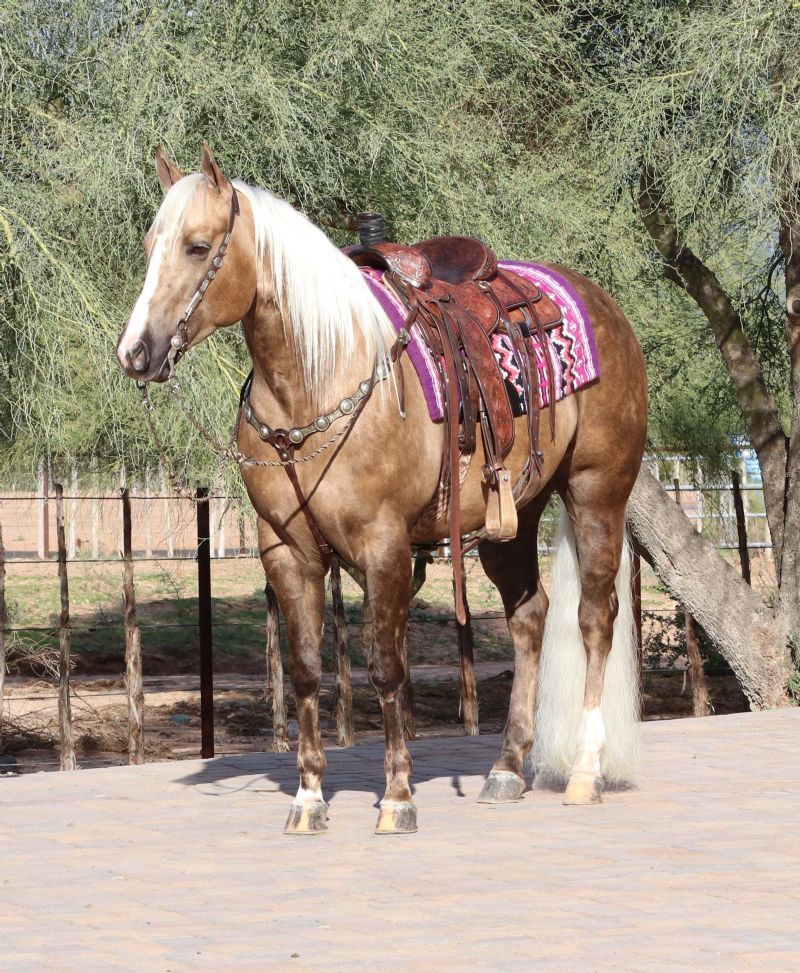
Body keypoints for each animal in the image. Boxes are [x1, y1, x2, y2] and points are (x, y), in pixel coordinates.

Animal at [116, 144, 648, 835]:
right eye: (150, 243)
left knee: (595, 618)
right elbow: (307, 669)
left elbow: (387, 668)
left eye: (198, 246)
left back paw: (585, 771)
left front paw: (397, 798)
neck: (317, 381)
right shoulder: (286, 552)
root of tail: (600, 301)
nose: (135, 353)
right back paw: (507, 768)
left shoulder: (385, 546)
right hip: (513, 516)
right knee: (530, 618)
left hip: (596, 493)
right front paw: (308, 799)